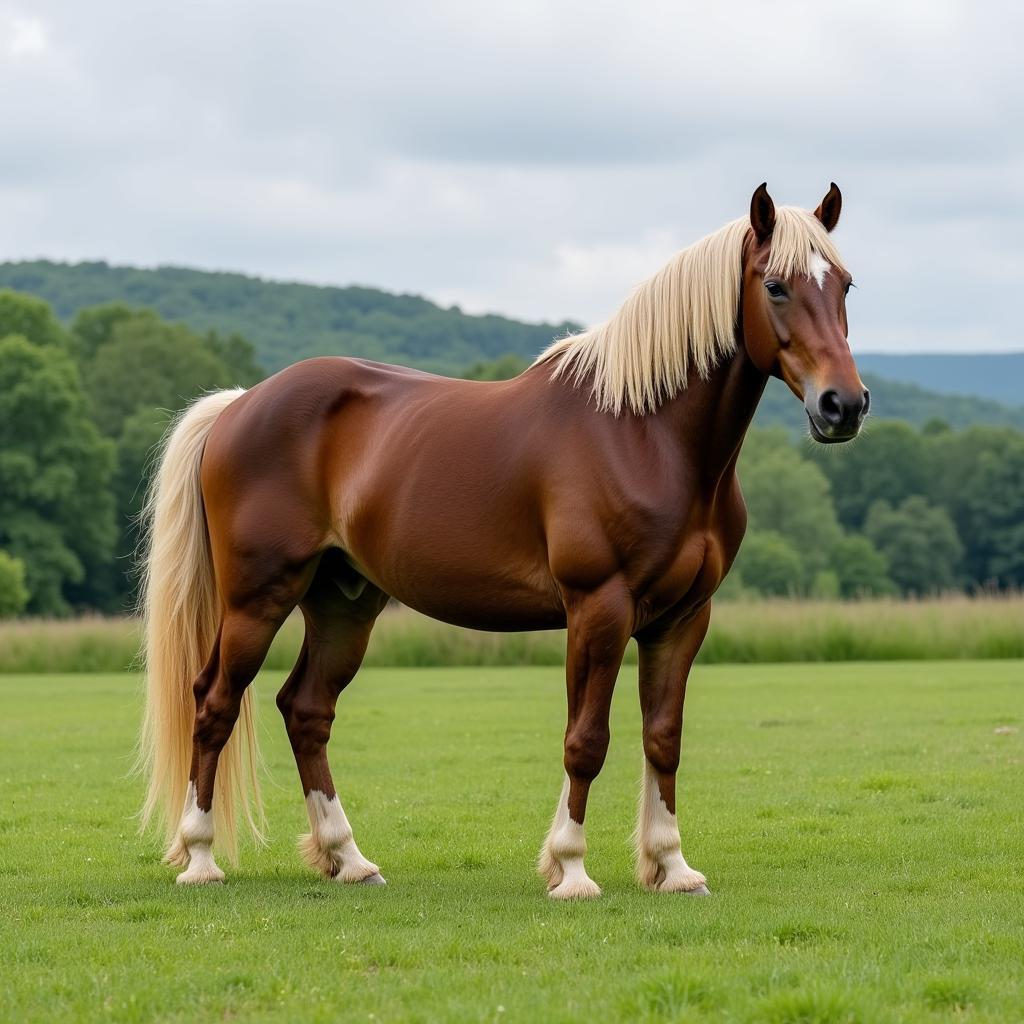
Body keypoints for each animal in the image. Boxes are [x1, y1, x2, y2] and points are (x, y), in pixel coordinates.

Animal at [140, 182, 868, 897]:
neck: (645, 434)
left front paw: (672, 867)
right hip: (257, 600)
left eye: (845, 284)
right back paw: (201, 859)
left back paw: (348, 858)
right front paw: (571, 869)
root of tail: (239, 404)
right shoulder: (598, 608)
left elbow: (663, 738)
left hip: (343, 601)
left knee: (306, 710)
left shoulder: (684, 617)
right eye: (774, 286)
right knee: (214, 703)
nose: (844, 405)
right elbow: (586, 740)